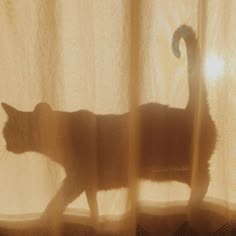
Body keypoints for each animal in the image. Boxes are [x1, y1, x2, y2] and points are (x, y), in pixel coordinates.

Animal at [1, 24, 216, 227]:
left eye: (16, 130)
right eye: (6, 132)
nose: (7, 145)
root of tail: (191, 110)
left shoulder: (76, 179)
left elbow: (57, 201)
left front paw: (44, 219)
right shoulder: (87, 184)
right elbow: (92, 207)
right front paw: (95, 223)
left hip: (171, 166)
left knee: (204, 178)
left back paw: (194, 205)